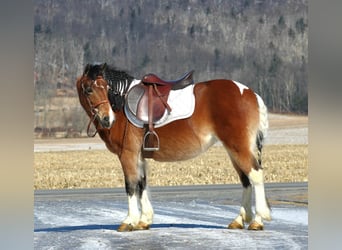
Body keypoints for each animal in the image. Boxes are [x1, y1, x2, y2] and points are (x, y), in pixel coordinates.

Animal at [76, 63, 272, 231]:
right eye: (89, 90)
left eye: (106, 88)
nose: (107, 119)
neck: (122, 103)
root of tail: (250, 93)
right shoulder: (140, 156)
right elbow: (142, 184)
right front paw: (144, 220)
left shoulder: (128, 154)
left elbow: (131, 185)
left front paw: (129, 221)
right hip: (235, 150)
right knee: (246, 179)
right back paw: (241, 220)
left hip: (238, 147)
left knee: (255, 175)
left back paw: (258, 219)